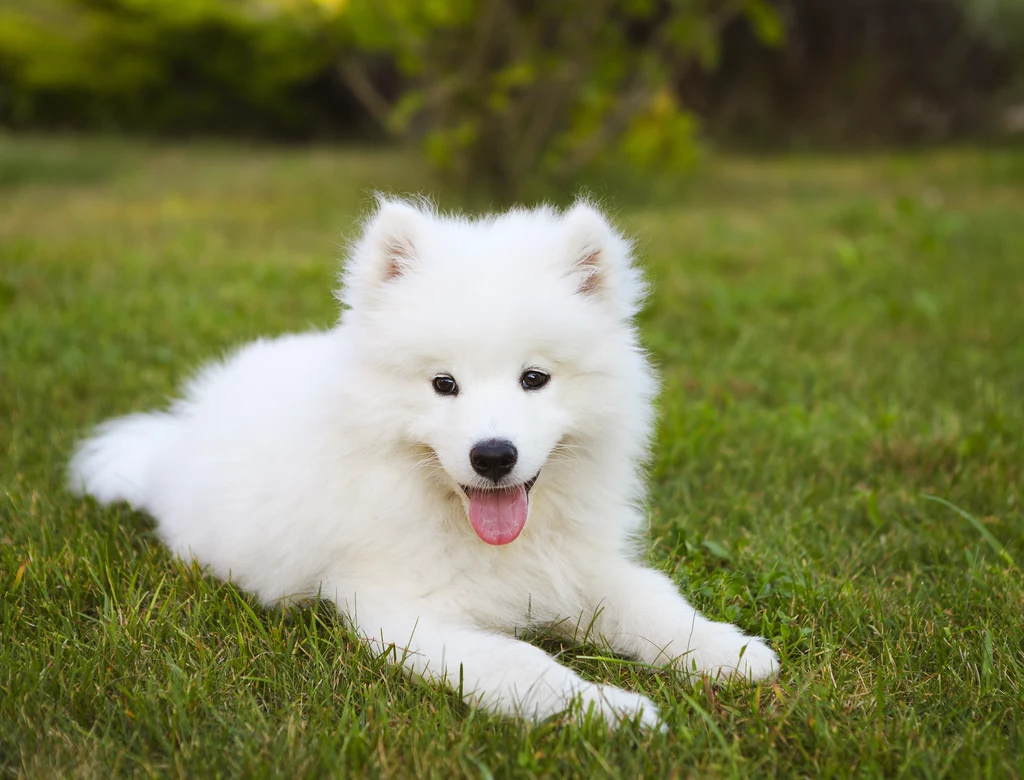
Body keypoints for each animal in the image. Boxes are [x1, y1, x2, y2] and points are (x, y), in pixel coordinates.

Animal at [70, 194, 774, 724]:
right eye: (444, 384)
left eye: (534, 378)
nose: (493, 455)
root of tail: (176, 435)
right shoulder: (409, 617)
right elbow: (525, 666)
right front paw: (612, 712)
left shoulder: (579, 569)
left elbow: (654, 604)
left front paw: (729, 653)